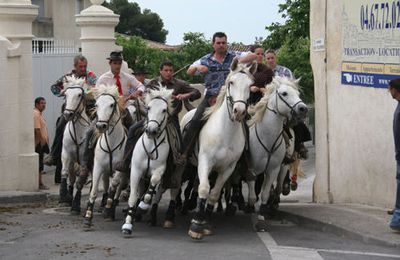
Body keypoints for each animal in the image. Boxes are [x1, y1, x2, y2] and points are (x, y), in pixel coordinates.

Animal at [83, 84, 128, 226]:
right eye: (96, 104)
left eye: (112, 104)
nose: (101, 125)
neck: (111, 145)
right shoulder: (98, 167)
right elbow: (94, 191)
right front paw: (88, 216)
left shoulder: (119, 169)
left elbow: (114, 186)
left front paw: (108, 210)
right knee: (105, 183)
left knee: (117, 188)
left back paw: (111, 208)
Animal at [120, 87, 173, 236]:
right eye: (148, 107)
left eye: (164, 110)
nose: (151, 130)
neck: (151, 145)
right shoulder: (136, 171)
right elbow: (133, 196)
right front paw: (127, 224)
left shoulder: (159, 170)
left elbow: (153, 184)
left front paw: (143, 206)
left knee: (155, 194)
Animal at [184, 59, 256, 240]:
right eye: (231, 82)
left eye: (250, 85)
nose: (239, 111)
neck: (225, 133)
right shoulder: (205, 161)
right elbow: (204, 189)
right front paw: (197, 225)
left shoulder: (228, 168)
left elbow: (214, 193)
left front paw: (207, 221)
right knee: (197, 184)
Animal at [245, 76, 308, 231]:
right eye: (284, 93)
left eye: (298, 93)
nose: (303, 109)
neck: (267, 139)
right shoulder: (251, 169)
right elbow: (252, 195)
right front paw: (251, 209)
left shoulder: (273, 169)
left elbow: (265, 194)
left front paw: (261, 216)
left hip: (283, 166)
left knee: (278, 187)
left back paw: (274, 205)